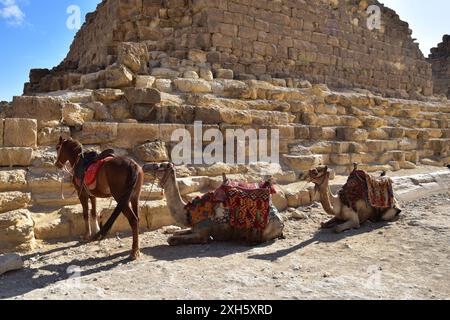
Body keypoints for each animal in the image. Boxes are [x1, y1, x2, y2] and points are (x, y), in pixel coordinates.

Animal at [144, 162, 284, 245]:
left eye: (160, 166)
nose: (145, 166)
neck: (190, 212)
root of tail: (281, 222)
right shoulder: (195, 227)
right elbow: (176, 233)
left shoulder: (203, 233)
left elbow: (171, 239)